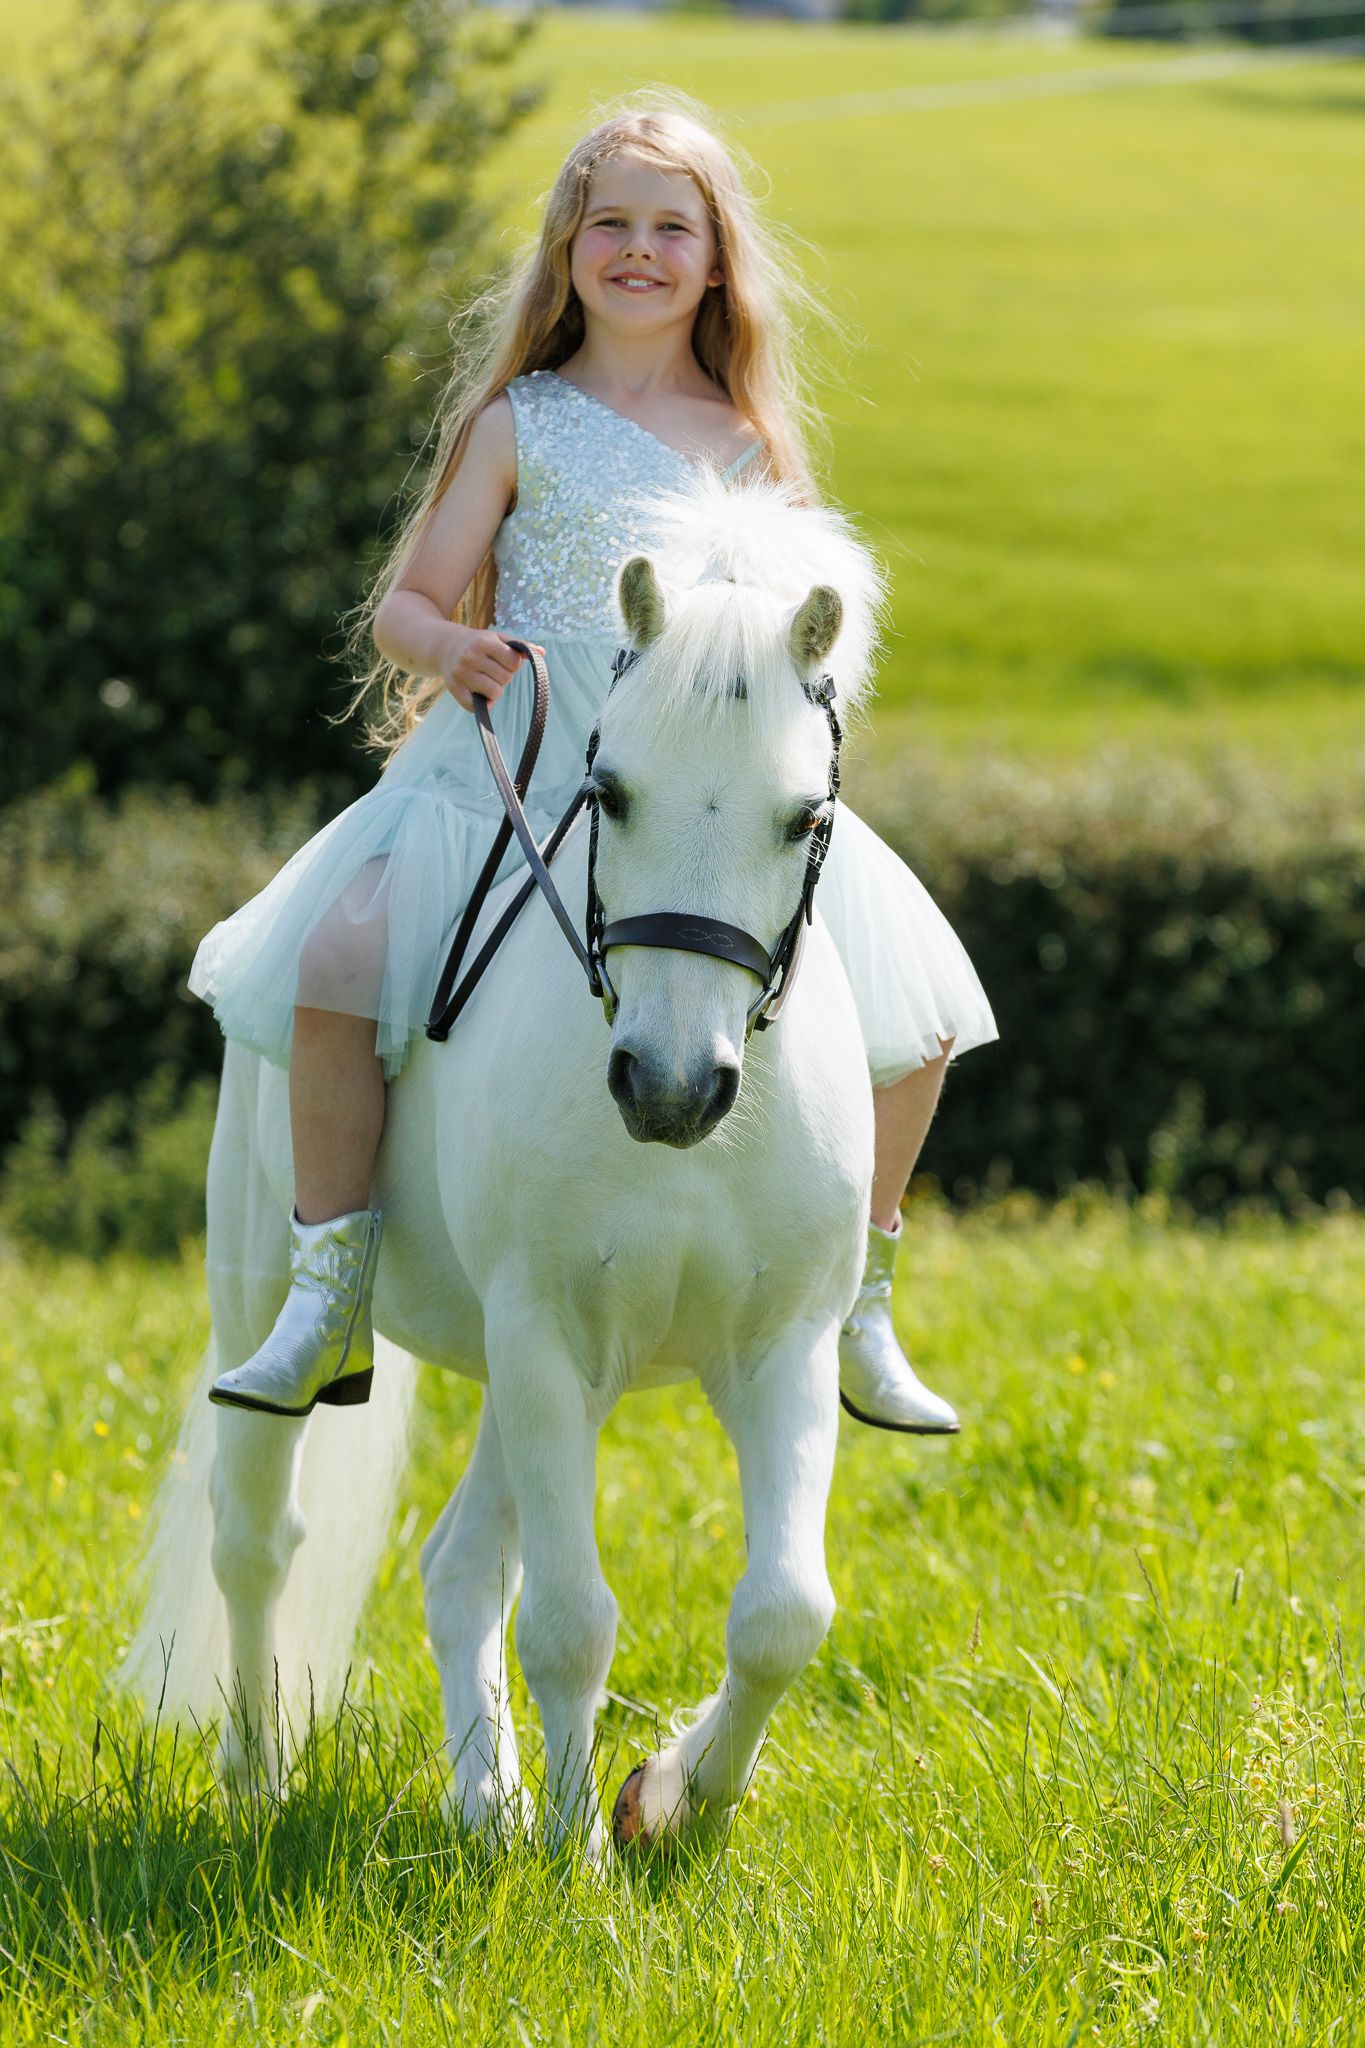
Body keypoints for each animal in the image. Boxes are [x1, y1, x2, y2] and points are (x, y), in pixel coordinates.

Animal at [120, 470, 887, 1858]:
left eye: (802, 817)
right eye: (613, 791)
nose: (669, 1089)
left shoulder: (778, 1347)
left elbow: (784, 1611)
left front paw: (670, 1800)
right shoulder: (544, 1335)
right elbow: (574, 1620)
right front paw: (583, 1864)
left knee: (457, 1560)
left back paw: (489, 1798)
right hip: (267, 1287)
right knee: (257, 1532)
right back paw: (259, 1777)